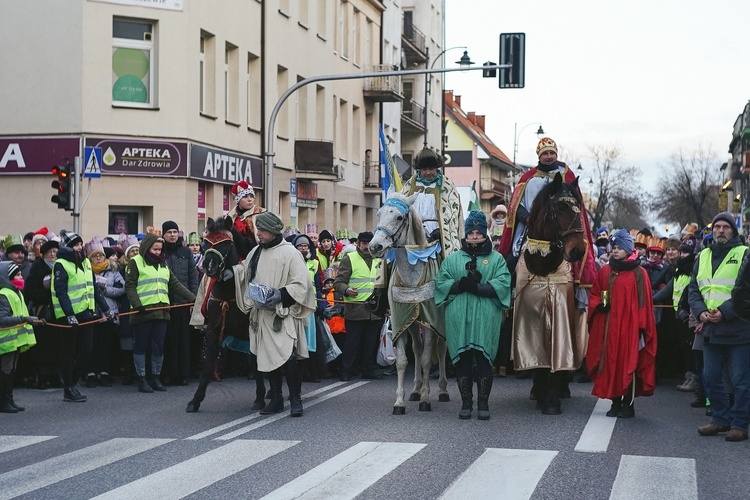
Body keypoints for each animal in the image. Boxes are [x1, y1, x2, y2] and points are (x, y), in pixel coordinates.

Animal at [186, 217, 266, 412]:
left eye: (226, 244)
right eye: (204, 244)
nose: (209, 266)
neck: (229, 294)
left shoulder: (252, 332)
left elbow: (256, 362)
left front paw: (260, 398)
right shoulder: (212, 331)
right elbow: (208, 365)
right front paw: (195, 400)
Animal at [368, 191, 450, 414]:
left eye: (399, 217)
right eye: (378, 214)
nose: (374, 247)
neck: (412, 271)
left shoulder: (432, 322)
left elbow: (426, 359)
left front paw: (426, 400)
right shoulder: (400, 320)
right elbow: (403, 361)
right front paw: (400, 402)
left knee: (440, 351)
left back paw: (442, 390)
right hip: (413, 322)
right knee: (417, 349)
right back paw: (415, 389)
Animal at [516, 174, 592, 416]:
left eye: (579, 207)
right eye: (560, 207)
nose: (577, 251)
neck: (542, 263)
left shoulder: (560, 311)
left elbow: (557, 359)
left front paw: (551, 400)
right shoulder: (530, 315)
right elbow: (538, 359)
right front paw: (540, 393)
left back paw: (563, 388)